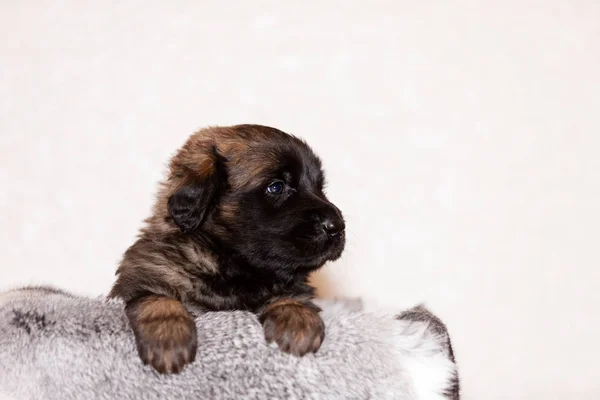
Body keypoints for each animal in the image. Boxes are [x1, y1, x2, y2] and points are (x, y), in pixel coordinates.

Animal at [107, 123, 342, 374]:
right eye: (276, 187)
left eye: (319, 187)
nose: (337, 226)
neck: (230, 266)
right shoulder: (139, 281)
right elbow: (158, 299)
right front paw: (169, 337)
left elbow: (291, 298)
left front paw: (296, 321)